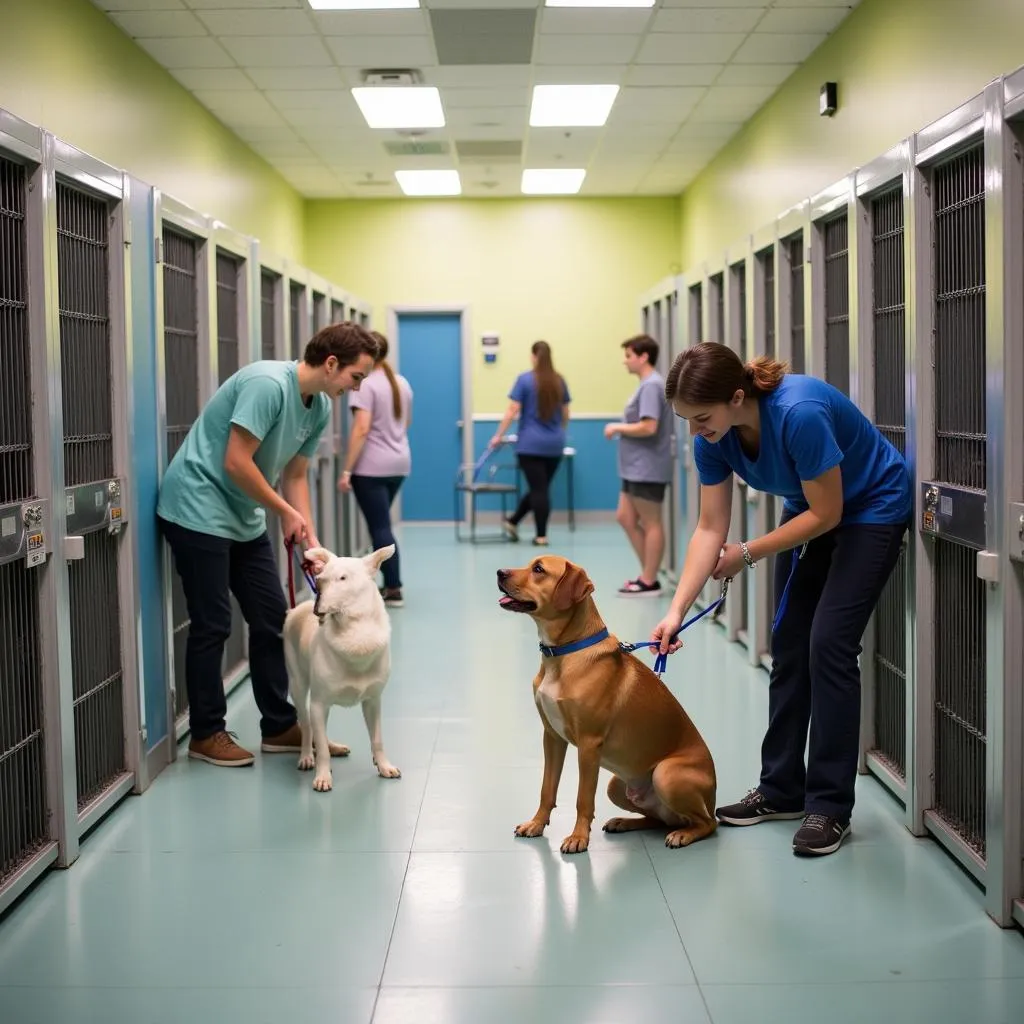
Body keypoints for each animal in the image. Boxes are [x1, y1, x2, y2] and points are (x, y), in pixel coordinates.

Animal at [288, 544, 403, 790]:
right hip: (299, 688)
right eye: (320, 580)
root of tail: (298, 608)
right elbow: (321, 748)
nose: (318, 595)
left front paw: (383, 765)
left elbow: (377, 739)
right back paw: (306, 756)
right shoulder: (318, 704)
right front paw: (323, 776)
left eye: (342, 578)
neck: (354, 631)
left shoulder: (373, 701)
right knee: (308, 726)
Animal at [499, 557, 716, 851]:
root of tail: (714, 799)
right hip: (616, 786)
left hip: (666, 774)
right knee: (660, 820)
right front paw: (537, 823)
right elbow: (547, 788)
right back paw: (624, 822)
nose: (499, 572)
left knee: (706, 824)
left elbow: (583, 798)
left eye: (539, 569)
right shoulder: (552, 737)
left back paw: (683, 835)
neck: (566, 652)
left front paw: (578, 837)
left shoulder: (589, 745)